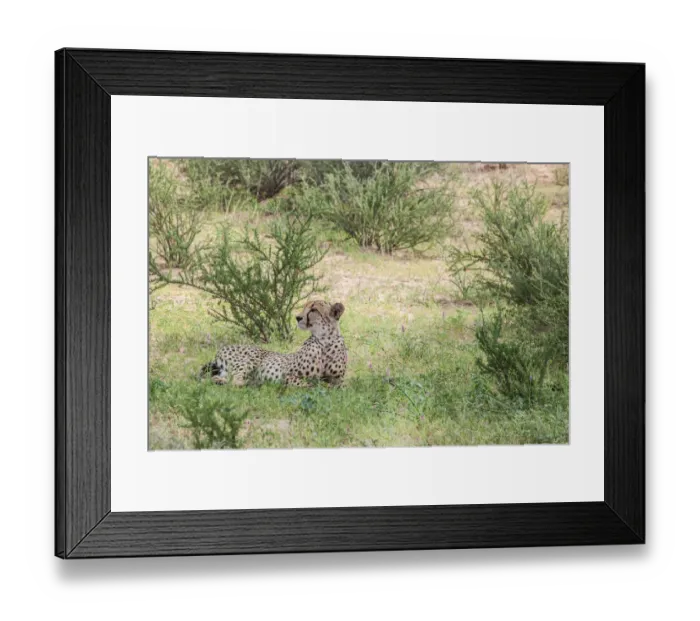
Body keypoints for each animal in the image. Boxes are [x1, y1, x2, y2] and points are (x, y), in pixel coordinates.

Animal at [200, 300, 348, 387]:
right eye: (305, 307)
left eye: (313, 310)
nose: (298, 317)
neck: (325, 341)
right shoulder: (288, 375)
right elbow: (309, 384)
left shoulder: (338, 380)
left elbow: (336, 386)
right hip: (249, 361)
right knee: (235, 381)